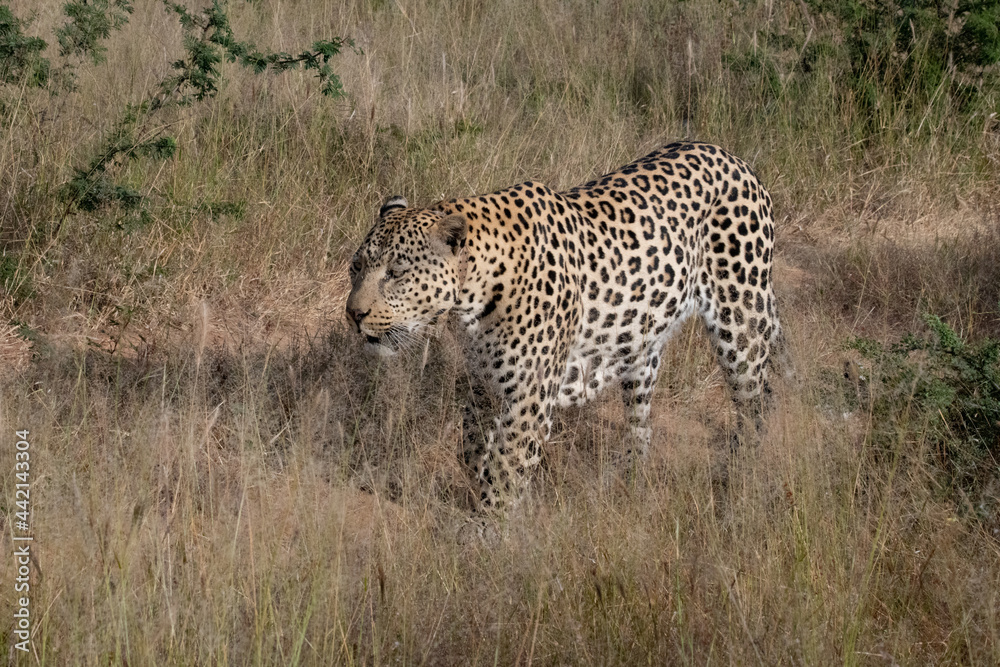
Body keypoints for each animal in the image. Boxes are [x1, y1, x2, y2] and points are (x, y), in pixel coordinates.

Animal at [346, 141, 785, 510]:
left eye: (396, 273)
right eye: (356, 267)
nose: (353, 314)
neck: (469, 301)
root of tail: (734, 158)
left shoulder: (530, 396)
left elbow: (506, 468)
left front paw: (484, 533)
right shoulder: (483, 381)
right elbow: (471, 447)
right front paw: (479, 487)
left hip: (742, 322)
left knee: (755, 403)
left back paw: (740, 480)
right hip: (640, 344)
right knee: (641, 427)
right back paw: (625, 482)